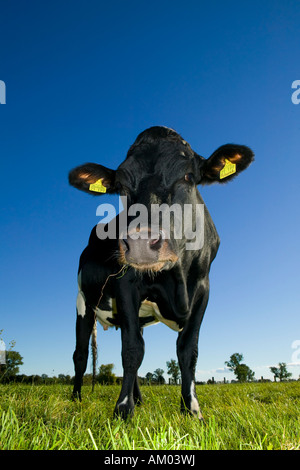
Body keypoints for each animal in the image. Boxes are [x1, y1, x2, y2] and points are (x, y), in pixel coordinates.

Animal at [69, 126, 254, 420]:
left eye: (188, 176)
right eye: (121, 186)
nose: (141, 243)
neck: (178, 278)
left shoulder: (203, 290)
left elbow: (188, 351)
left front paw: (191, 409)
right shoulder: (126, 284)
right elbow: (131, 350)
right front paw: (123, 410)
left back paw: (139, 398)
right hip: (82, 301)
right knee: (80, 354)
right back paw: (76, 397)